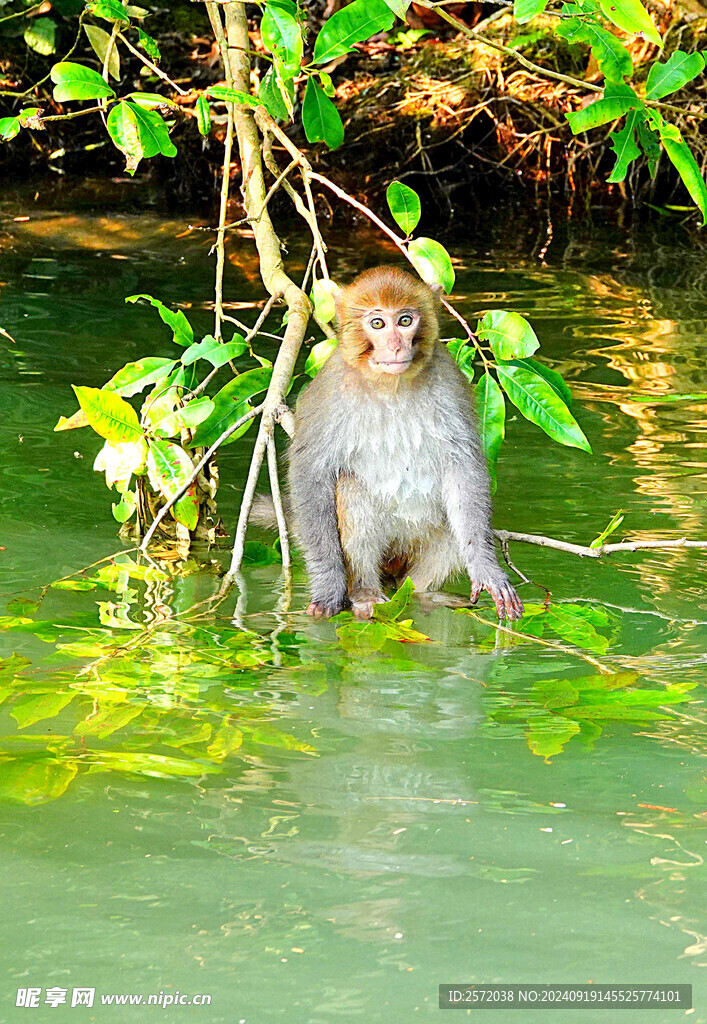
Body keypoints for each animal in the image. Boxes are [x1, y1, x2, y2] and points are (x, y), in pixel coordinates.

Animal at [280, 264, 522, 618]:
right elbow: (310, 473)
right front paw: (328, 586)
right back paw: (365, 593)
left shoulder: (449, 380)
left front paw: (485, 567)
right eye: (378, 323)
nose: (395, 346)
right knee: (352, 493)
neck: (390, 385)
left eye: (405, 321)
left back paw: (423, 595)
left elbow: (464, 468)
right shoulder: (330, 390)